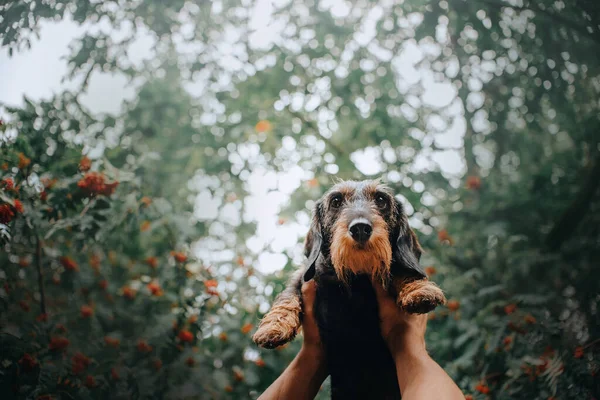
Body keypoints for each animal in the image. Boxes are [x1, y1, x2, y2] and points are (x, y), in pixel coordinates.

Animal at [253, 180, 446, 398]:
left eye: (381, 199)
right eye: (336, 201)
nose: (360, 228)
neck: (356, 275)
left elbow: (401, 271)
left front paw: (419, 290)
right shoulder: (303, 278)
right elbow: (287, 296)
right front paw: (272, 327)